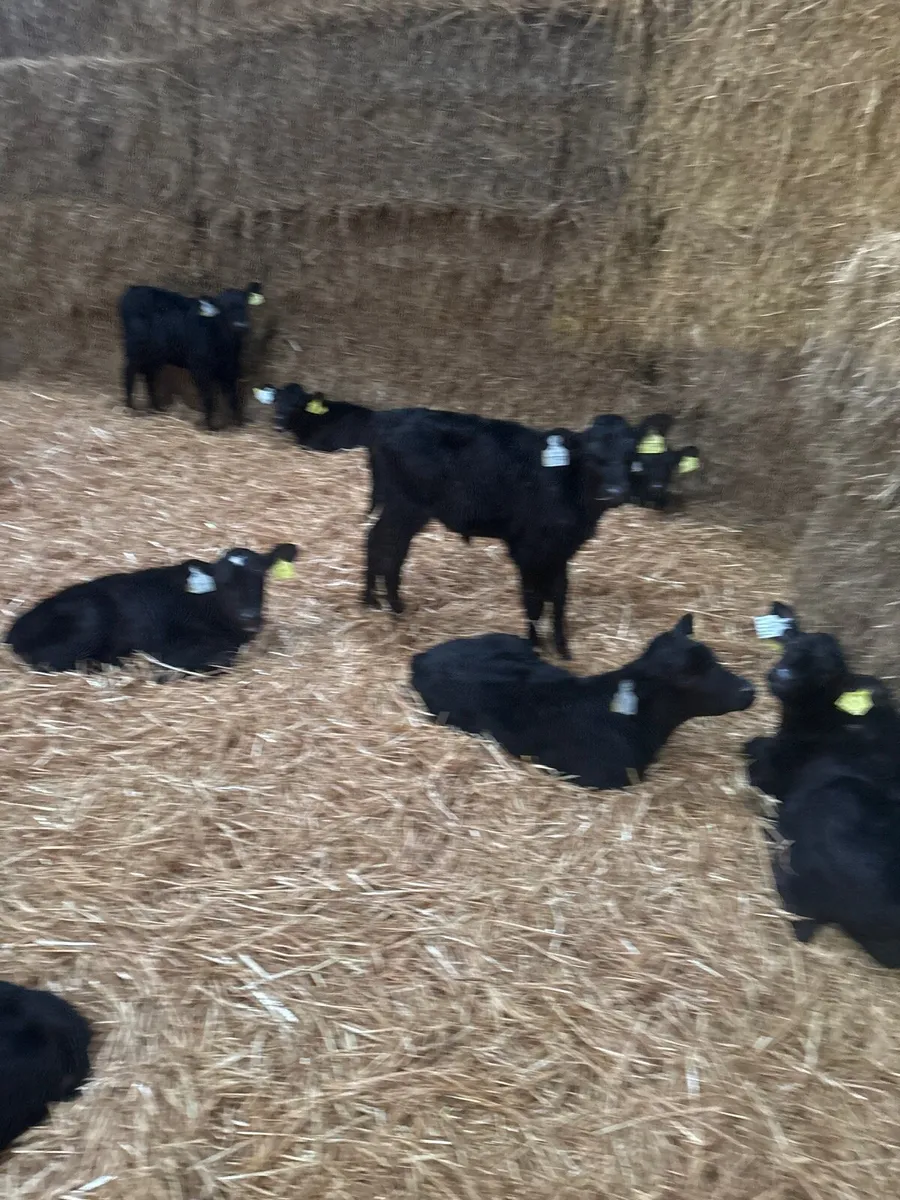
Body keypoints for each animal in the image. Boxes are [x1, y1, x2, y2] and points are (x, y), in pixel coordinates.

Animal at [118, 282, 264, 431]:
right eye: (223, 308)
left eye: (245, 305)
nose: (241, 326)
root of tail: (134, 288)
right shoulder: (199, 367)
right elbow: (209, 397)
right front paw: (210, 426)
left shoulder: (230, 368)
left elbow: (232, 396)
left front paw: (238, 425)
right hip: (135, 347)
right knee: (129, 371)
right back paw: (130, 406)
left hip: (156, 354)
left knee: (149, 375)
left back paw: (156, 408)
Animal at [362, 408, 637, 658]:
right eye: (591, 456)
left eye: (630, 454)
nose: (615, 492)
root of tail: (388, 418)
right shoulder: (527, 548)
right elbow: (534, 598)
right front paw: (535, 646)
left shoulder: (561, 550)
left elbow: (559, 595)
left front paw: (562, 648)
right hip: (404, 506)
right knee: (384, 546)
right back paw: (388, 605)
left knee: (383, 545)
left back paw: (376, 602)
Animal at [746, 602, 900, 967]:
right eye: (789, 647)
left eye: (825, 673)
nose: (780, 677)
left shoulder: (775, 772)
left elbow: (754, 765)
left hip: (835, 802)